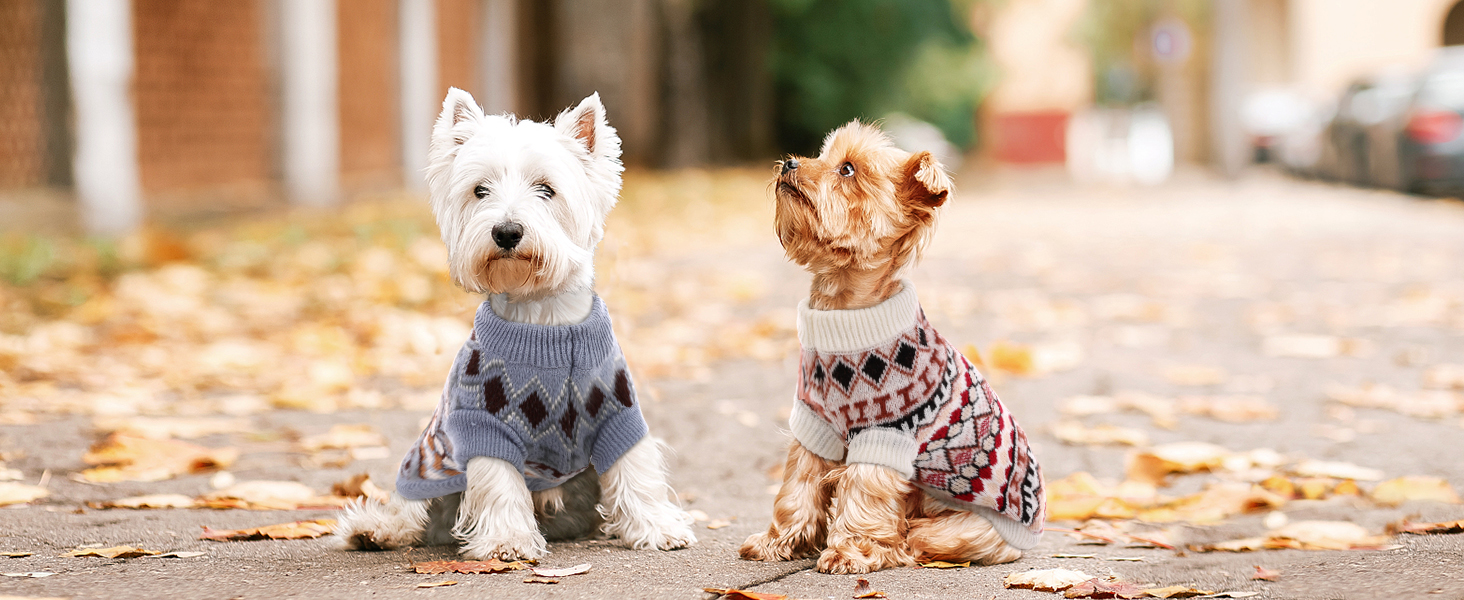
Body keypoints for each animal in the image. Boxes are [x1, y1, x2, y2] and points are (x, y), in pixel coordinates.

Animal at [336, 87, 691, 559]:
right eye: (480, 190)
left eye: (546, 189)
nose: (506, 232)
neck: (545, 323)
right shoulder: (485, 425)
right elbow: (499, 480)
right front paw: (508, 540)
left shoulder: (618, 413)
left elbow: (634, 468)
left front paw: (657, 527)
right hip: (426, 464)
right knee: (411, 511)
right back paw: (374, 530)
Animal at [743, 120, 1042, 570]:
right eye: (822, 155)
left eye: (847, 169)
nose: (790, 162)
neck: (842, 315)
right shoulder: (814, 425)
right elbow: (797, 485)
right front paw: (778, 541)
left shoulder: (885, 437)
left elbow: (863, 493)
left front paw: (848, 550)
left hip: (959, 529)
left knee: (916, 535)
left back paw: (894, 547)